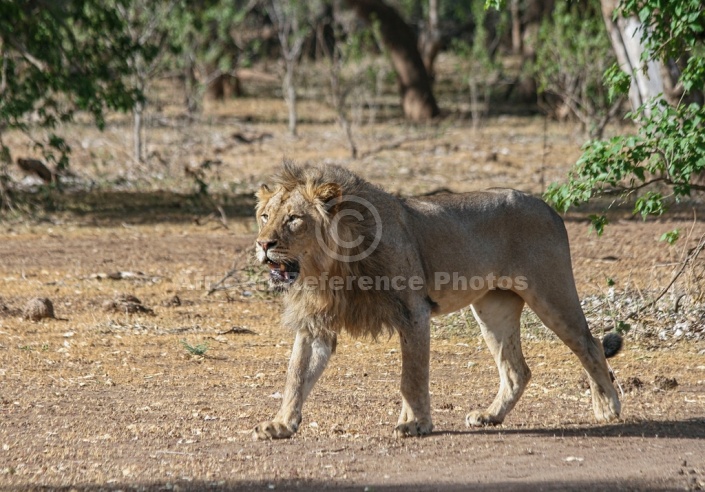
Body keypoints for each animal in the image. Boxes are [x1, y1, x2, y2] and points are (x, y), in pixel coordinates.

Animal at [250, 163, 620, 440]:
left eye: (294, 219)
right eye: (265, 216)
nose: (263, 244)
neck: (327, 269)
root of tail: (547, 206)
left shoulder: (413, 310)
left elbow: (412, 376)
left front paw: (415, 423)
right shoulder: (314, 324)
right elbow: (296, 374)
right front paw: (281, 424)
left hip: (551, 293)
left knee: (589, 345)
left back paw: (608, 407)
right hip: (492, 308)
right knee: (517, 370)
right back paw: (490, 416)